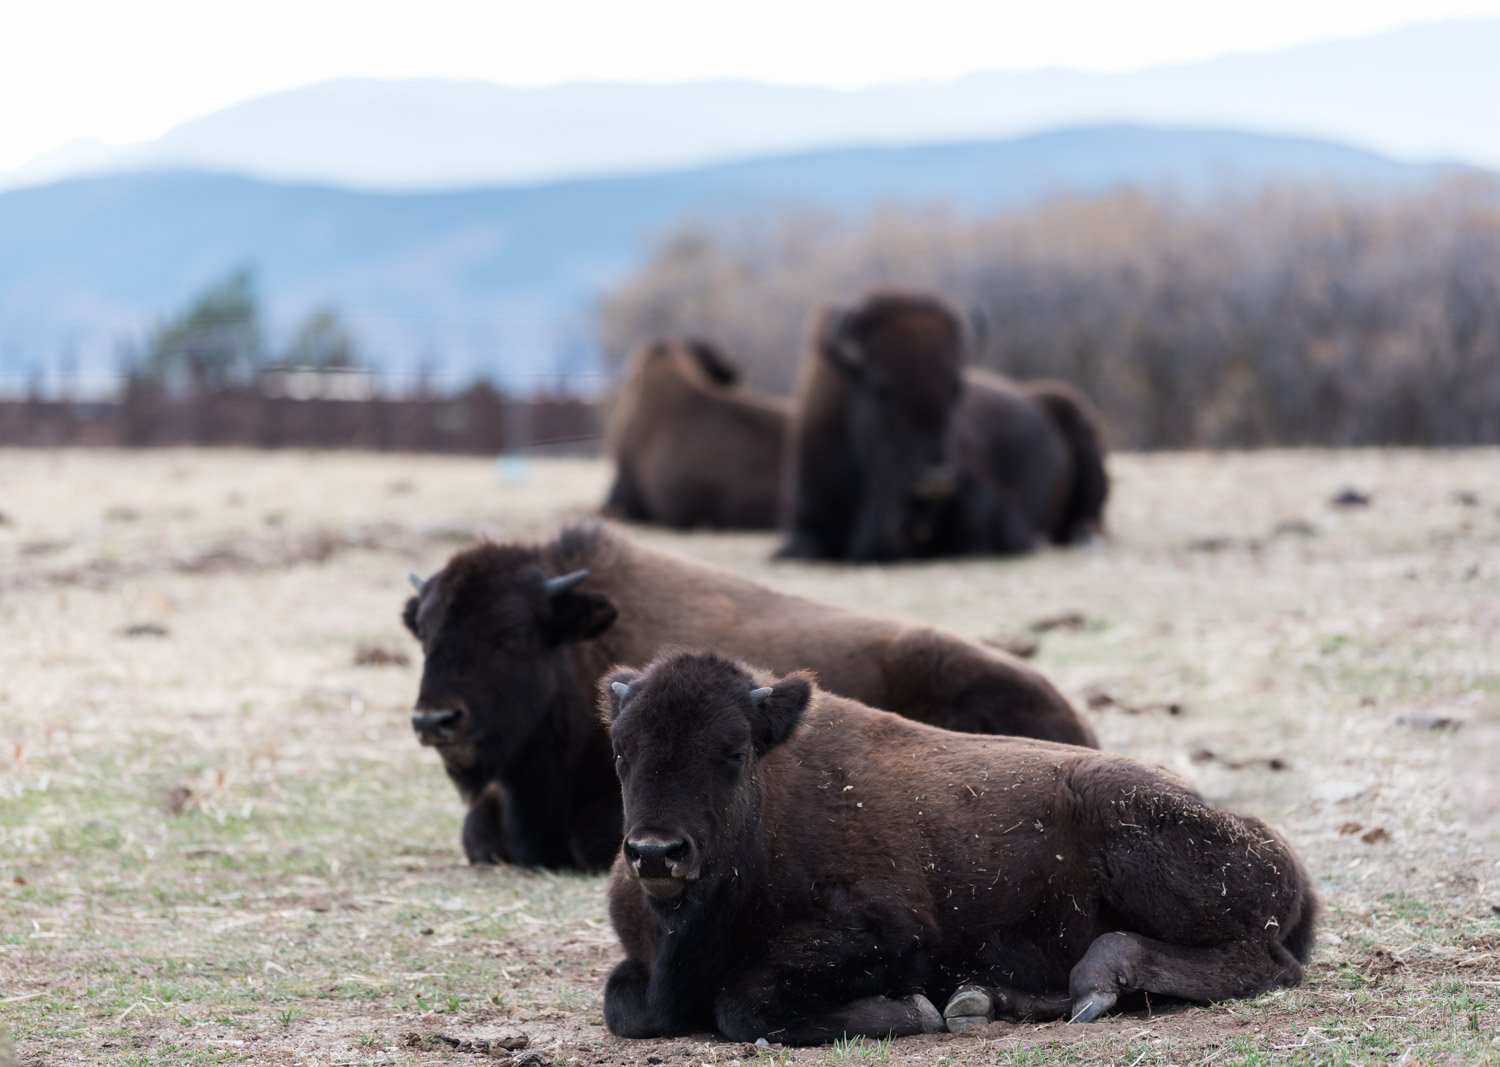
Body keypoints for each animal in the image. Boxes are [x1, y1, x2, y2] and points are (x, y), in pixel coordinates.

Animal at [602, 650, 1317, 1045]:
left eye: (732, 751)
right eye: (621, 751)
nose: (656, 853)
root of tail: (1285, 861)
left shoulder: (892, 936)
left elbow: (743, 1004)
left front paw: (916, 1012)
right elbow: (624, 1005)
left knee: (1265, 962)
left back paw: (1089, 985)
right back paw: (989, 1002)